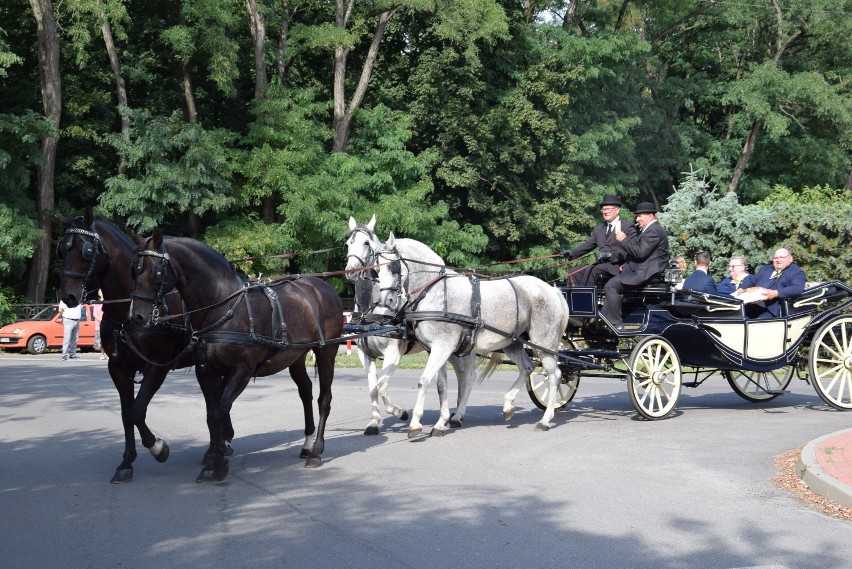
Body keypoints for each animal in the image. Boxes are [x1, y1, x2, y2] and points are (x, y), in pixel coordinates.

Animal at [57, 211, 201, 482]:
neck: (128, 313)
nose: (68, 296)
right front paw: (126, 462)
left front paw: (158, 448)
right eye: (62, 250)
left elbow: (137, 410)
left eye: (87, 250)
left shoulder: (157, 367)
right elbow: (126, 414)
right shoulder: (119, 368)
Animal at [128, 226, 342, 480]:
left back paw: (316, 451)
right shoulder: (205, 371)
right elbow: (211, 415)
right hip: (295, 356)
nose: (137, 316)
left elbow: (220, 411)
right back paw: (307, 443)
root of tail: (323, 286)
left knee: (324, 399)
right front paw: (212, 462)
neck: (224, 306)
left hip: (327, 352)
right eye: (134, 270)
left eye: (157, 271)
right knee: (305, 390)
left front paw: (219, 465)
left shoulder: (242, 371)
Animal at [342, 216, 470, 434]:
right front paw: (374, 422)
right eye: (348, 244)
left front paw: (400, 412)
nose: (351, 271)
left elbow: (382, 387)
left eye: (366, 243)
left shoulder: (394, 353)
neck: (373, 310)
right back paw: (450, 417)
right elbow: (373, 388)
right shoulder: (365, 355)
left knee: (466, 377)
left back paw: (456, 415)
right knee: (450, 380)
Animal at [374, 233, 568, 432]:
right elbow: (441, 385)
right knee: (527, 367)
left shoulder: (443, 346)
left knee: (555, 375)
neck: (436, 293)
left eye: (393, 266)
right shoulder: (435, 349)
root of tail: (551, 290)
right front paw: (441, 423)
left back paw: (545, 419)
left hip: (543, 344)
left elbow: (424, 380)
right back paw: (507, 405)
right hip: (513, 343)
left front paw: (415, 424)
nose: (387, 301)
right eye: (376, 269)